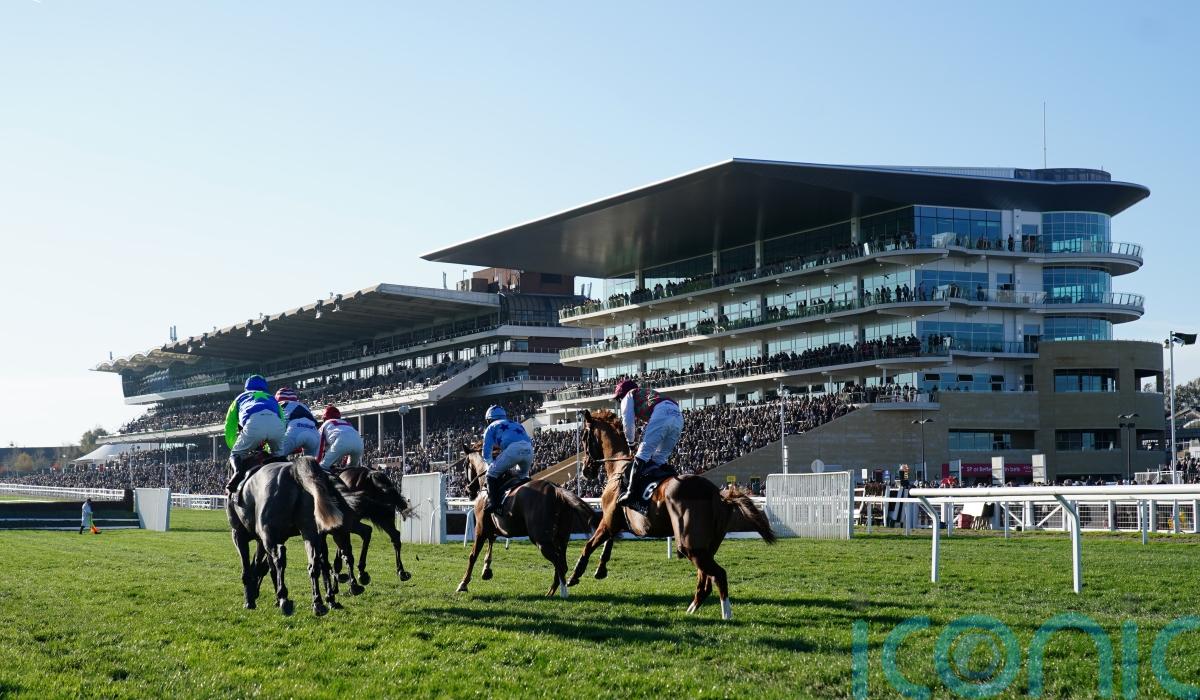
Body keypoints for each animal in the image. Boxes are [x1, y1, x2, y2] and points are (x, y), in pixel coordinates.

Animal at [226, 455, 355, 616]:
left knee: (280, 557)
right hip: (310, 532)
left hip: (269, 534)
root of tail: (294, 471)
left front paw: (250, 600)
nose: (230, 485)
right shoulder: (265, 540)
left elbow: (250, 568)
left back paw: (285, 599)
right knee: (315, 562)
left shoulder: (240, 534)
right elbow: (263, 567)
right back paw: (318, 602)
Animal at [456, 443, 598, 597]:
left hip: (541, 539)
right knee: (561, 562)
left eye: (465, 465)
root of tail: (556, 490)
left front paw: (463, 584)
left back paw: (562, 592)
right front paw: (486, 570)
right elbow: (491, 542)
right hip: (562, 538)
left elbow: (473, 555)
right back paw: (551, 592)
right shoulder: (492, 527)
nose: (468, 490)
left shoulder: (481, 528)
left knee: (560, 563)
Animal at [566, 409, 776, 620]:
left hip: (690, 545)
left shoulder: (608, 521)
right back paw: (691, 610)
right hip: (706, 546)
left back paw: (726, 615)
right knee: (705, 581)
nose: (586, 470)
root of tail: (717, 494)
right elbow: (608, 542)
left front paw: (574, 576)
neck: (619, 468)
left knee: (719, 575)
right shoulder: (616, 522)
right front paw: (600, 569)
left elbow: (589, 545)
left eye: (584, 437)